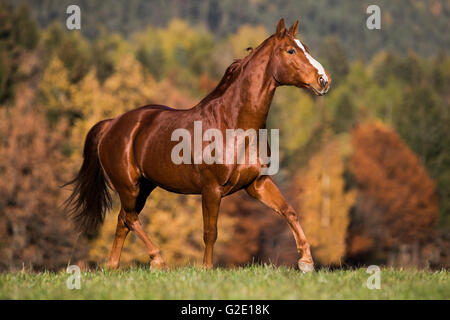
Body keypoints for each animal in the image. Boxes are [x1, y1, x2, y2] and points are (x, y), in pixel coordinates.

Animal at [64, 18, 330, 272]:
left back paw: (113, 267)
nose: (323, 81)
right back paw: (157, 260)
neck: (232, 124)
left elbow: (289, 211)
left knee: (123, 220)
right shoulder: (211, 189)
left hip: (145, 187)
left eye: (305, 48)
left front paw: (306, 262)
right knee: (130, 218)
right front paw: (206, 269)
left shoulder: (257, 183)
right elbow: (210, 232)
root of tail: (112, 124)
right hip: (128, 186)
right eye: (291, 51)